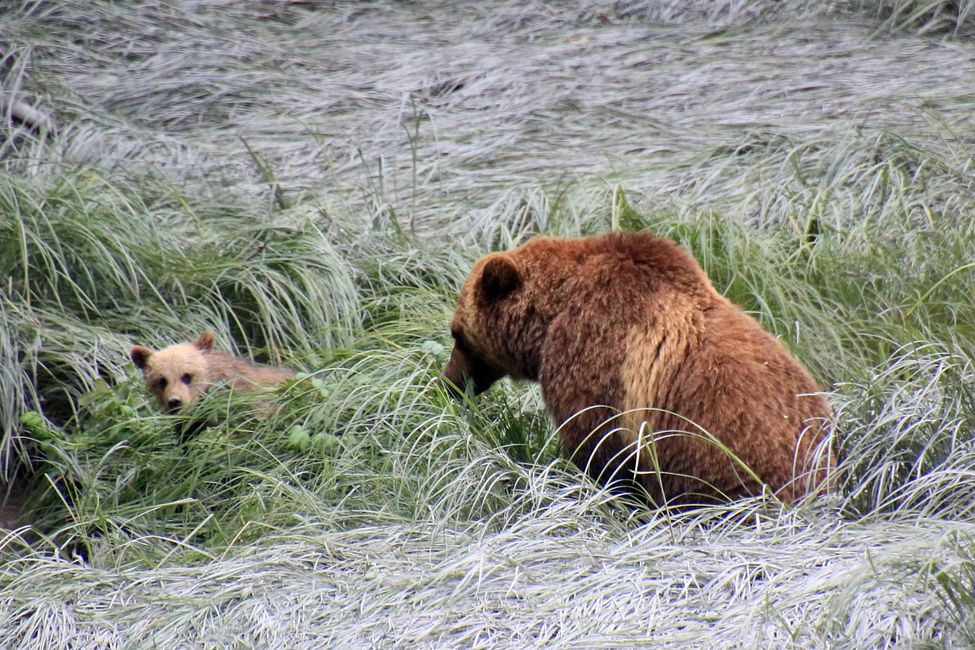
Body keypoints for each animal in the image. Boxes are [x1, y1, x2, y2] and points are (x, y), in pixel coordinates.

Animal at [442, 230, 832, 504]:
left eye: (457, 334)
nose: (448, 384)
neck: (549, 319)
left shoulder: (595, 358)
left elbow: (598, 446)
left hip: (718, 454)